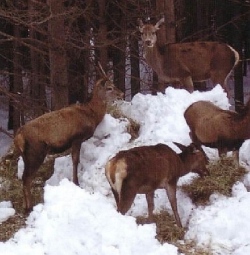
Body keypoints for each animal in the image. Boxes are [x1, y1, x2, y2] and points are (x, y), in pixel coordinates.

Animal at [14, 66, 123, 213]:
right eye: (109, 88)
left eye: (114, 85)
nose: (122, 94)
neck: (91, 114)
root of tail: (18, 137)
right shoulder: (77, 138)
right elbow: (75, 160)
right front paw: (76, 182)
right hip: (35, 152)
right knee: (26, 178)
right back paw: (29, 207)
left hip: (26, 156)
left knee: (24, 178)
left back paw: (26, 206)